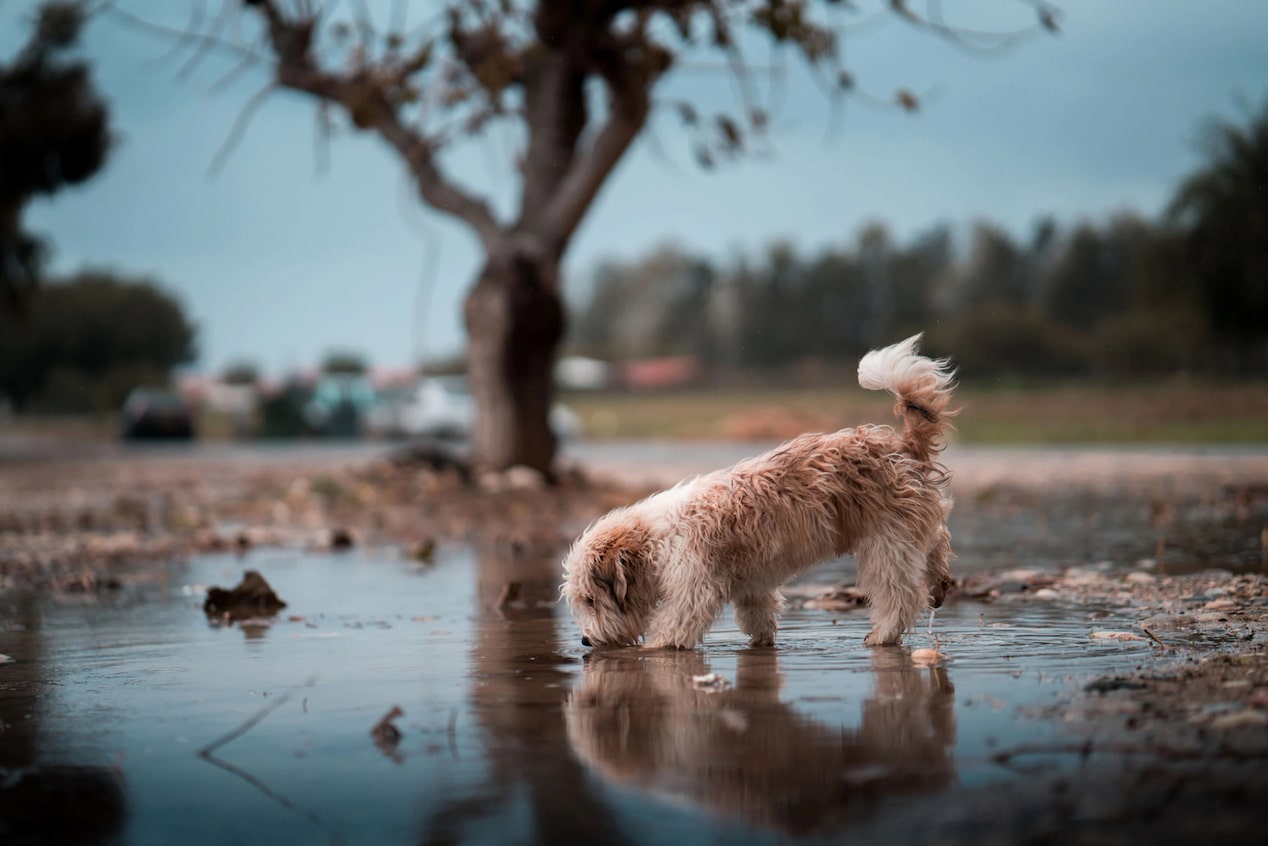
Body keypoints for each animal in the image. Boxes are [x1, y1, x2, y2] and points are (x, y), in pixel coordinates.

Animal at [560, 332, 953, 649]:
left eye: (591, 600)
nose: (585, 641)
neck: (655, 541)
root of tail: (902, 446)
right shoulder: (753, 584)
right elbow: (758, 613)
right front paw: (761, 642)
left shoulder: (694, 586)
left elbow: (675, 624)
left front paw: (655, 649)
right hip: (907, 532)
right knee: (937, 541)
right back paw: (940, 585)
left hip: (887, 543)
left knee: (900, 595)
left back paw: (883, 634)